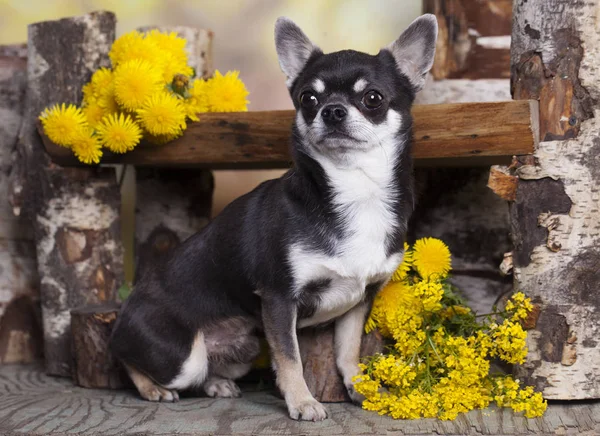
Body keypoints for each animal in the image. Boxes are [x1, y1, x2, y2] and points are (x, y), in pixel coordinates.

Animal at [110, 15, 436, 420]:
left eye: (372, 98)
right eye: (308, 99)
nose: (331, 110)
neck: (354, 189)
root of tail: (123, 314)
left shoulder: (359, 301)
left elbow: (348, 351)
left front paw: (360, 387)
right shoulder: (279, 299)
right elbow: (290, 358)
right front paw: (303, 402)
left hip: (244, 348)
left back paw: (216, 383)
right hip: (181, 357)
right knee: (125, 358)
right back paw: (151, 388)